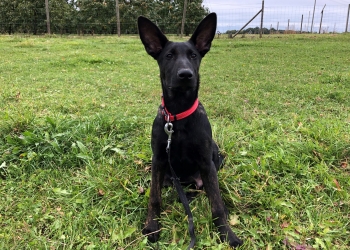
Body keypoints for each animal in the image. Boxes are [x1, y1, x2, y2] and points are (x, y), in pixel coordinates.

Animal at [138, 12, 242, 247]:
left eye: (193, 55)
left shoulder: (205, 162)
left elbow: (216, 204)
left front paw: (226, 233)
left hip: (215, 156)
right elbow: (154, 198)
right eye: (168, 56)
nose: (185, 74)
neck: (178, 115)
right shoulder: (158, 160)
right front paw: (152, 226)